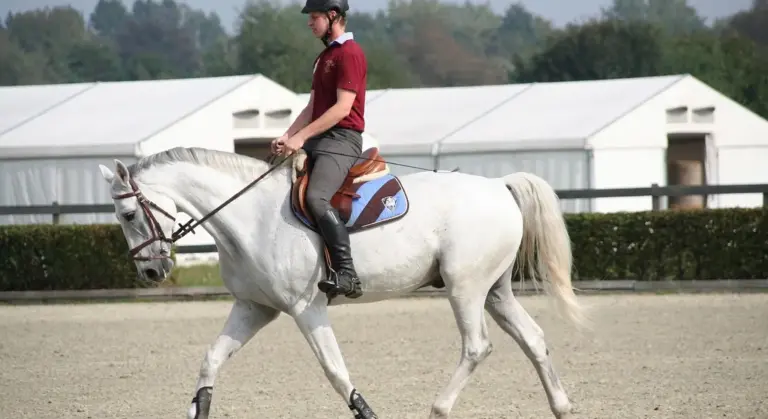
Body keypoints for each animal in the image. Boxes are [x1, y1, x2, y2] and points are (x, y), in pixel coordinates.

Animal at [97, 145, 587, 419]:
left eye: (128, 214)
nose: (151, 273)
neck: (250, 218)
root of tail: (498, 186)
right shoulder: (255, 308)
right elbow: (211, 360)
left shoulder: (305, 309)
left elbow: (334, 370)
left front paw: (366, 411)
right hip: (494, 292)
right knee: (533, 338)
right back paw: (561, 407)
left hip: (465, 288)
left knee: (476, 347)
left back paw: (439, 409)